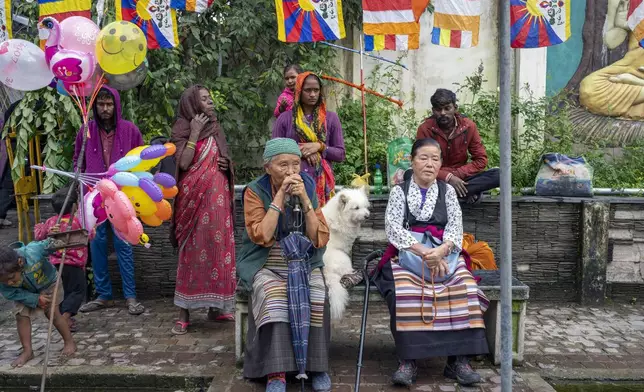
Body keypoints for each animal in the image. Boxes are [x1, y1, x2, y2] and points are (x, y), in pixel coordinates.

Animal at [320, 188, 370, 320]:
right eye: (356, 208)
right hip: (343, 258)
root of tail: (326, 272)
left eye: (365, 206)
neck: (340, 217)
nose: (367, 216)